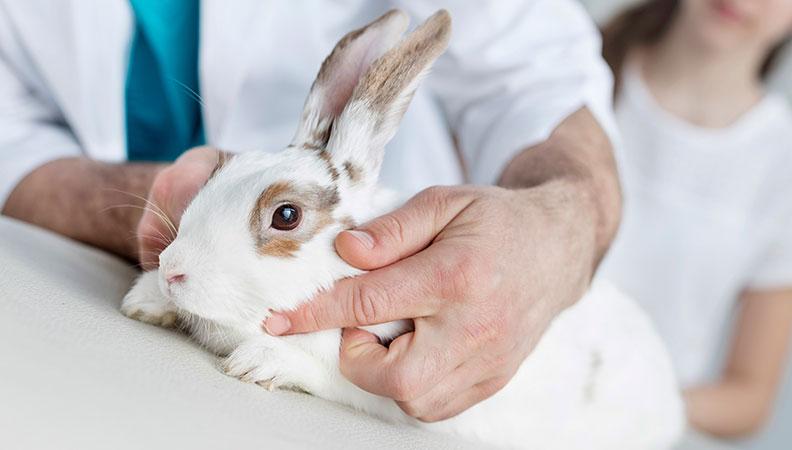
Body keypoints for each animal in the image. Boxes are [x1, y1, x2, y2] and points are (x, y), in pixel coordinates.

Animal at [121, 9, 685, 449]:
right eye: (220, 170)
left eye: (286, 215)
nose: (173, 270)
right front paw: (144, 301)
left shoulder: (379, 385)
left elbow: (331, 376)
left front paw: (258, 364)